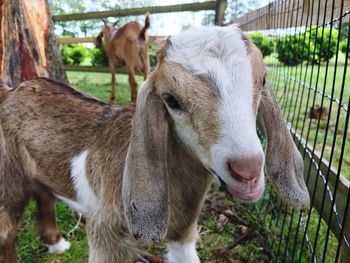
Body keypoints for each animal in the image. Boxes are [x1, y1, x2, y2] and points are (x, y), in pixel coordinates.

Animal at [0, 24, 308, 262]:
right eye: (171, 99)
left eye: (263, 80)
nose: (248, 171)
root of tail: (10, 92)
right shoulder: (105, 232)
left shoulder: (183, 232)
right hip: (8, 179)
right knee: (6, 229)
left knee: (44, 197)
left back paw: (56, 243)